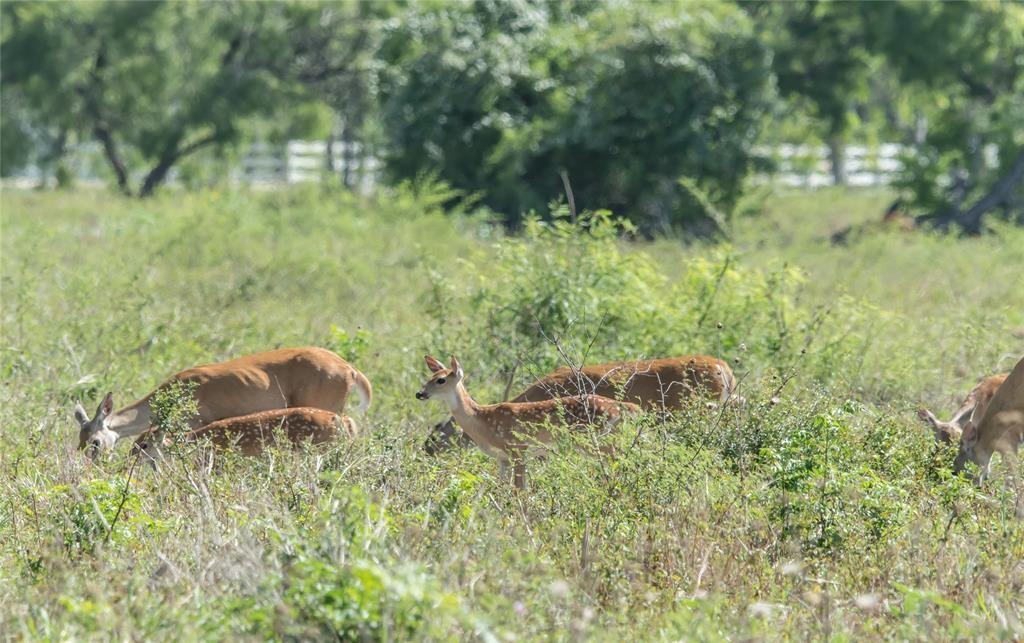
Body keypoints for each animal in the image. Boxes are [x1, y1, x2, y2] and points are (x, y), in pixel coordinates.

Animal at [415, 356, 638, 487]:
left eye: (441, 380)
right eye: (429, 377)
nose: (420, 394)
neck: (482, 421)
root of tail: (623, 407)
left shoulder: (518, 449)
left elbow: (519, 491)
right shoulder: (503, 458)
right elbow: (501, 488)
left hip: (597, 440)